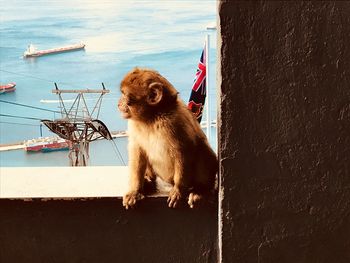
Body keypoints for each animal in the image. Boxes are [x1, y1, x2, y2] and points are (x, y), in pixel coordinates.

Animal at [117, 68, 217, 210]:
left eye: (124, 94)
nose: (119, 103)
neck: (151, 118)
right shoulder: (133, 124)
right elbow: (137, 151)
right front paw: (134, 191)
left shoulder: (174, 122)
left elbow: (185, 150)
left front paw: (179, 190)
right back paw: (148, 179)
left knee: (201, 149)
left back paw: (201, 189)